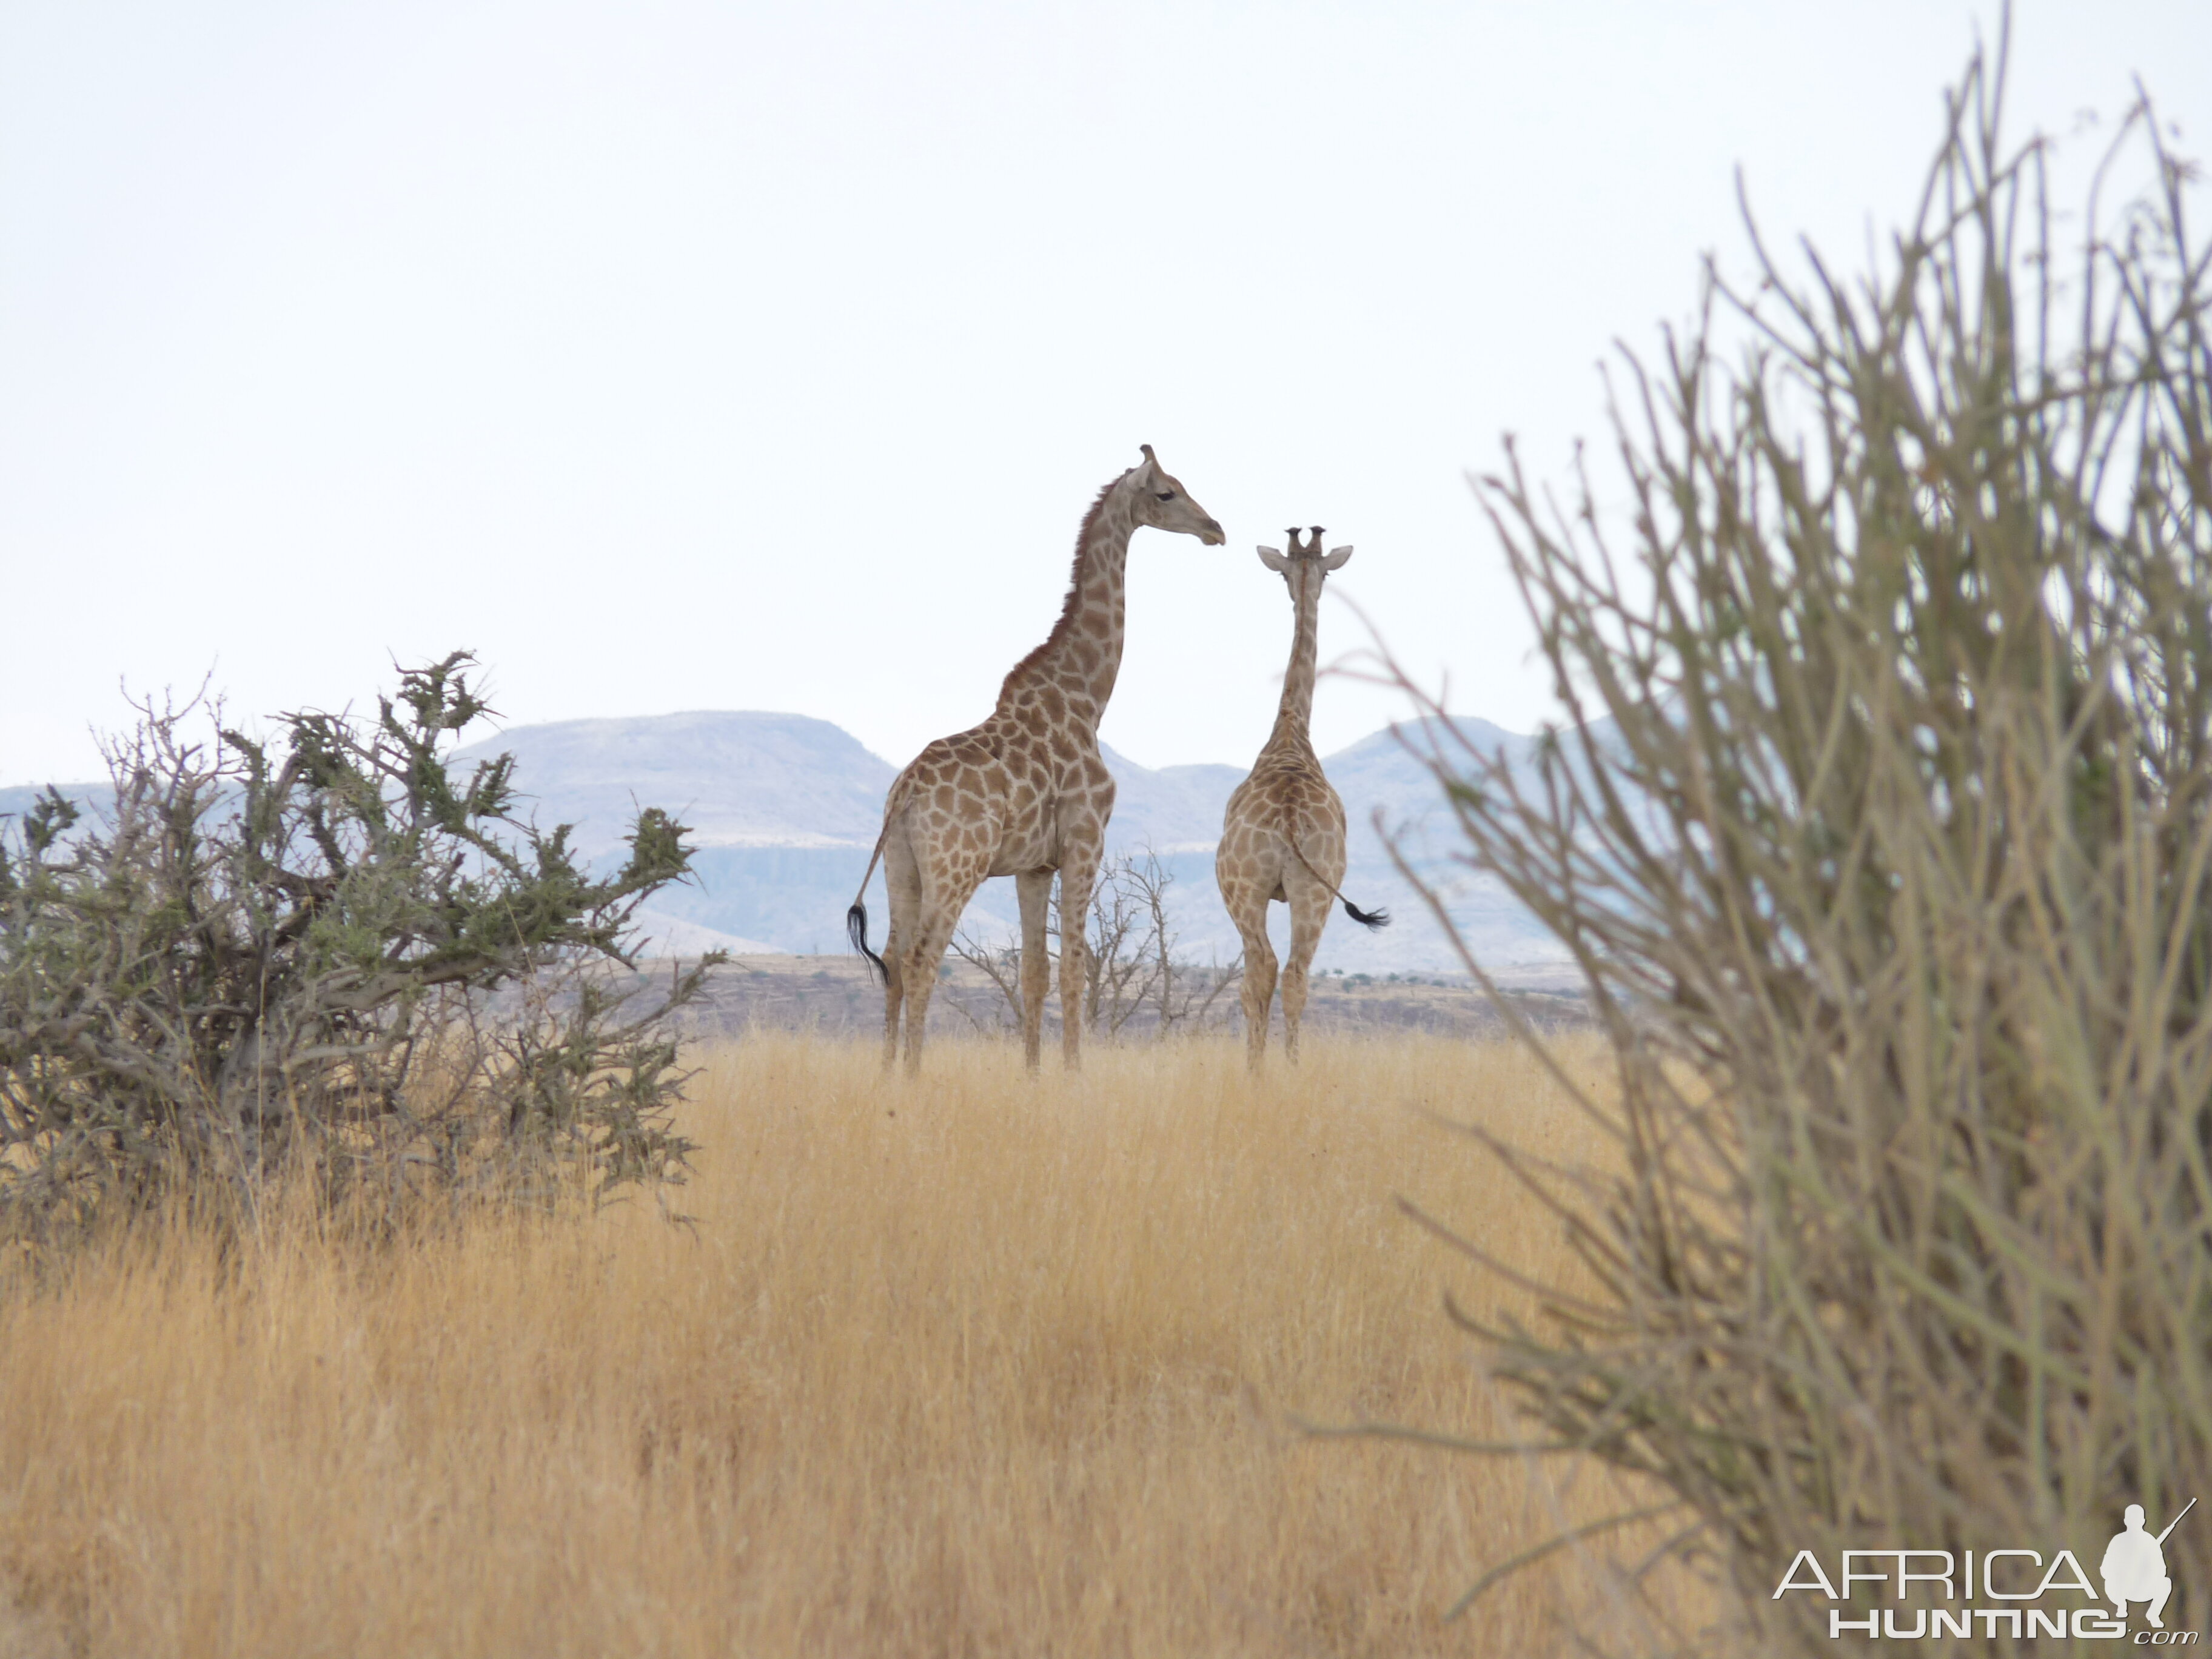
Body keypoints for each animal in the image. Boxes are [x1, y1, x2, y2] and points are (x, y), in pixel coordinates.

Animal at [845, 444, 1230, 1079]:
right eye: (1167, 492)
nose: (1216, 529)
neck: (1088, 698)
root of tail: (904, 794)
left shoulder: (1034, 865)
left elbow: (1034, 973)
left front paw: (1032, 1076)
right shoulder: (1084, 841)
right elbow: (1073, 966)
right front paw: (1073, 1076)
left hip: (903, 864)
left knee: (895, 959)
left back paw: (884, 1075)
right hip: (958, 865)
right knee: (924, 957)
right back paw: (914, 1076)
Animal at [1221, 533, 1389, 1079]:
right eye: (1289, 572)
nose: (1299, 590)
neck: (1291, 731)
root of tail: (1290, 820)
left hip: (1247, 889)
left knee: (1264, 970)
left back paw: (1258, 1073)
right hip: (1314, 892)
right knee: (1293, 973)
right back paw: (1288, 1070)